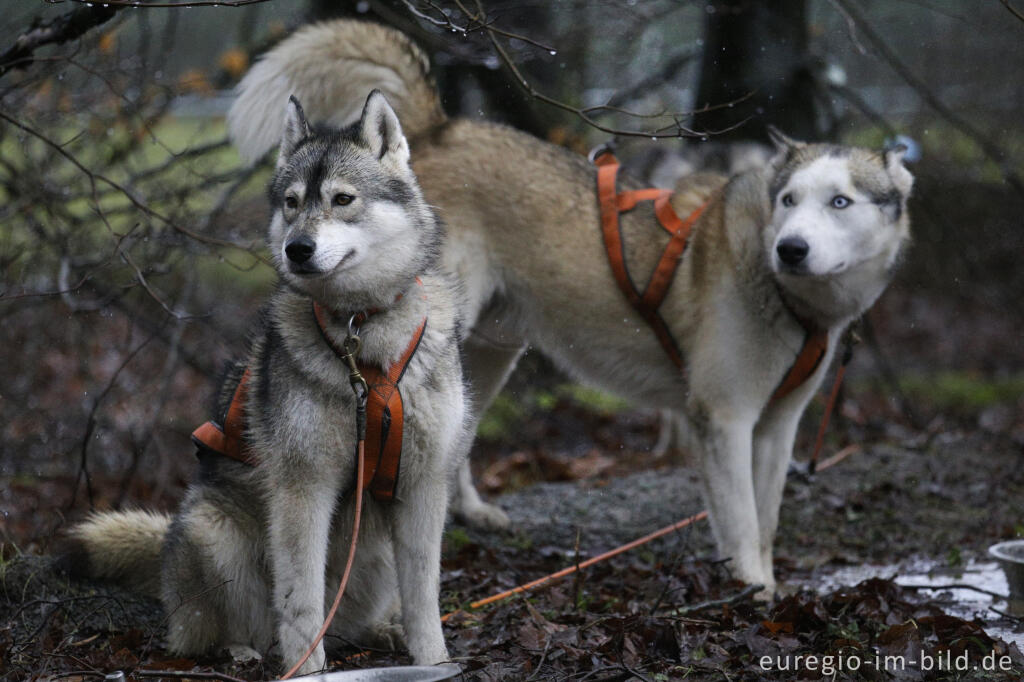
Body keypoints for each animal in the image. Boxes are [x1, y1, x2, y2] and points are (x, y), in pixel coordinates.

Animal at [61, 90, 466, 675]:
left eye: (343, 199)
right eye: (292, 203)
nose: (297, 248)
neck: (361, 334)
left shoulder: (423, 486)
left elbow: (425, 598)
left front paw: (433, 662)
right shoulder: (303, 487)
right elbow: (300, 602)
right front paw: (308, 672)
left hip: (375, 557)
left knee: (349, 623)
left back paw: (381, 631)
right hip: (216, 533)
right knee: (208, 635)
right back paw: (241, 650)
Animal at [230, 19, 913, 593]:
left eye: (840, 202)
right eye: (789, 200)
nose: (791, 249)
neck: (777, 288)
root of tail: (443, 126)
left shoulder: (775, 426)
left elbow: (765, 523)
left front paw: (764, 587)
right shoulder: (723, 420)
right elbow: (743, 526)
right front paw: (750, 596)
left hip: (489, 350)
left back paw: (470, 512)